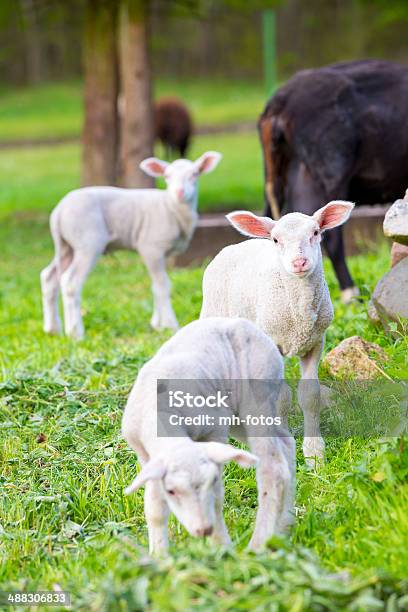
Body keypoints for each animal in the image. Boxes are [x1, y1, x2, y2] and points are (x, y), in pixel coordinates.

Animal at [39, 150, 222, 338]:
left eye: (195, 174)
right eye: (167, 176)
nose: (179, 192)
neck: (170, 207)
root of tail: (58, 211)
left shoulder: (160, 253)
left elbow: (155, 285)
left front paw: (156, 324)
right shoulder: (151, 248)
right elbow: (162, 285)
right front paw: (170, 325)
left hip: (66, 246)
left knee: (49, 277)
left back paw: (53, 329)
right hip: (88, 243)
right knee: (71, 282)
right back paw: (75, 332)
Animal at [121, 318, 294, 556]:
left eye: (210, 481)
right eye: (171, 491)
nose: (203, 530)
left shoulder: (215, 429)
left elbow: (217, 499)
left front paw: (222, 548)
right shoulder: (147, 456)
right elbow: (154, 508)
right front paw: (159, 556)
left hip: (258, 395)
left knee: (273, 468)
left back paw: (259, 544)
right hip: (238, 417)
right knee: (286, 443)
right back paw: (284, 526)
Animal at [201, 201, 354, 464]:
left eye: (315, 232)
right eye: (275, 239)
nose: (299, 262)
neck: (299, 316)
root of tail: (232, 247)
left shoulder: (315, 342)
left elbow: (310, 395)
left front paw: (314, 454)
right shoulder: (273, 342)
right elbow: (281, 398)